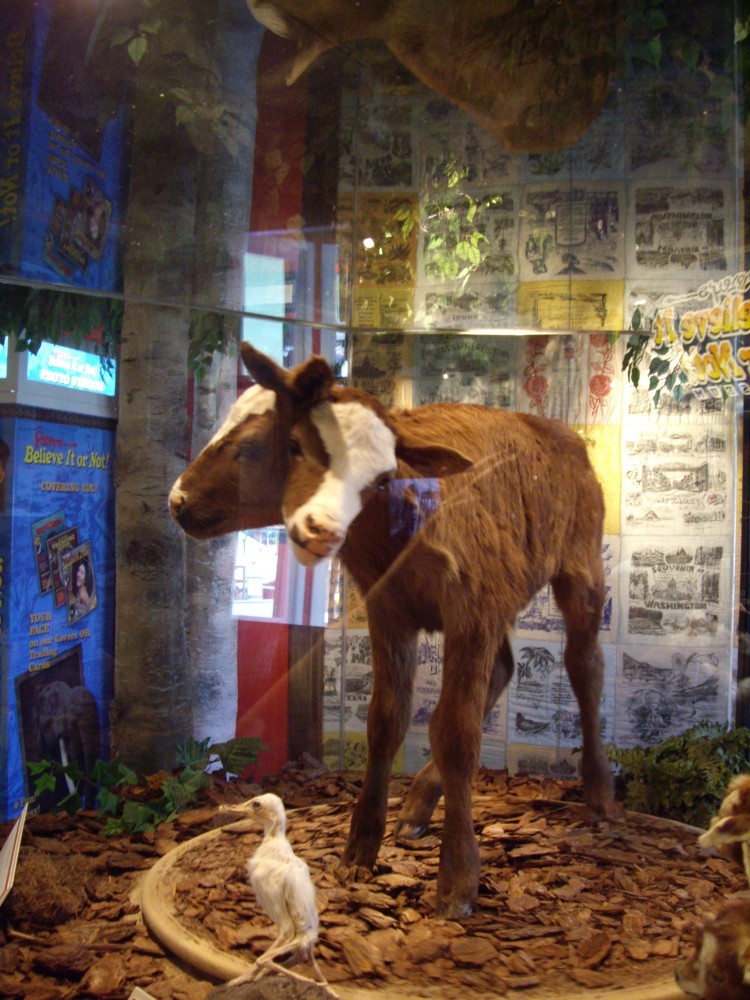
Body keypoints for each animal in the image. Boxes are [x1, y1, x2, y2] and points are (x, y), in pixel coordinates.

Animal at [170, 341, 614, 917]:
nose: (178, 500)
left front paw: (458, 879)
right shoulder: (390, 613)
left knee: (585, 668)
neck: (392, 533)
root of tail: (563, 432)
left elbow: (457, 735)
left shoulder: (471, 612)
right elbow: (386, 721)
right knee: (503, 670)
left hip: (580, 569)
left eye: (381, 476)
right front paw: (359, 847)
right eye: (291, 445)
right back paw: (419, 805)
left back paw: (600, 795)